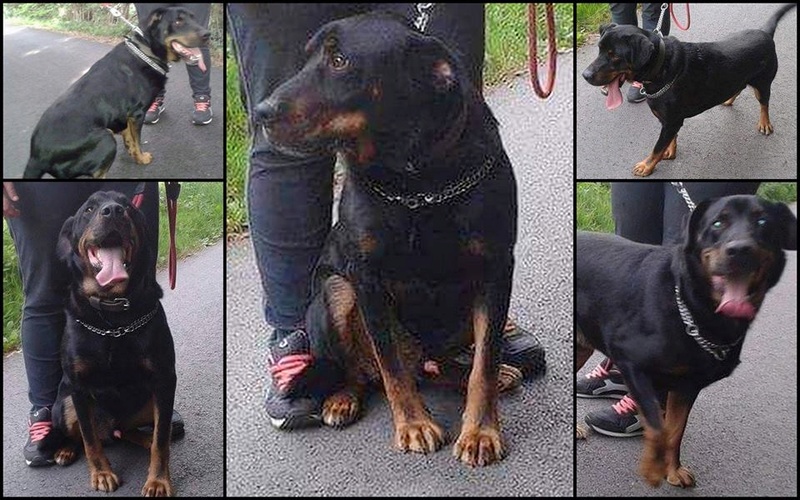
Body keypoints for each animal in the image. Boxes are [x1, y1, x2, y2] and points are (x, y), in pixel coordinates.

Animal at [26, 6, 209, 179]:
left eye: (194, 18)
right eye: (178, 22)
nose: (208, 34)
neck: (146, 51)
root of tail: (36, 157)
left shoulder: (126, 117)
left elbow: (131, 140)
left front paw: (133, 154)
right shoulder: (137, 114)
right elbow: (138, 141)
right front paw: (142, 158)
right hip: (106, 138)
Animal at [42, 192, 177, 496]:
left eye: (127, 206)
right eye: (89, 209)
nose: (113, 211)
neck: (112, 320)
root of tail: (111, 429)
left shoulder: (164, 380)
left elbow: (161, 440)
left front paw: (158, 480)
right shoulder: (78, 388)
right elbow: (89, 440)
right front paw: (102, 473)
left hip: (149, 403)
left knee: (143, 432)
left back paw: (145, 438)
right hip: (64, 405)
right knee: (83, 434)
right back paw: (65, 450)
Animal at [256, 11, 520, 464]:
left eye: (340, 61)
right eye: (306, 59)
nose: (261, 112)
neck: (415, 180)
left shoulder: (496, 269)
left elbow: (484, 363)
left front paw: (481, 431)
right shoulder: (366, 279)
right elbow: (391, 364)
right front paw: (413, 425)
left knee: (442, 364)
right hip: (334, 293)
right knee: (363, 369)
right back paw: (342, 398)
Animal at [580, 3, 792, 176]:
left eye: (615, 56)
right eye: (599, 49)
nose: (585, 75)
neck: (661, 67)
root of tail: (765, 32)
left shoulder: (671, 121)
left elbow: (657, 147)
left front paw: (646, 166)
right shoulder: (669, 120)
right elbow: (670, 139)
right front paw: (670, 151)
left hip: (763, 83)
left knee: (764, 104)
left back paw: (765, 123)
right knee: (738, 88)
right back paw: (729, 99)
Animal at [580, 196, 796, 488]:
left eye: (763, 222)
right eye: (717, 223)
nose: (740, 250)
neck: (690, 307)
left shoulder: (687, 387)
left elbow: (675, 431)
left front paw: (673, 470)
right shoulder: (630, 361)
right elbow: (658, 427)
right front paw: (652, 467)